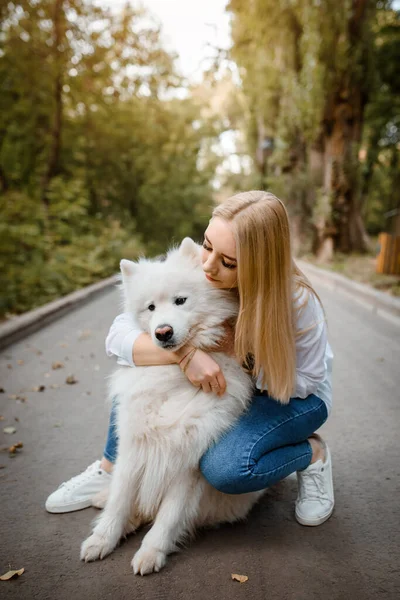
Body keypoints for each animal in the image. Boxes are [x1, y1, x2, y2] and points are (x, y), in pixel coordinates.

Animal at [79, 237, 264, 576]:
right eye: (150, 308)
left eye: (180, 301)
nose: (162, 332)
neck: (174, 378)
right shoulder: (134, 447)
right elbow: (120, 501)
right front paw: (103, 539)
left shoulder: (188, 464)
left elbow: (168, 516)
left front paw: (151, 552)